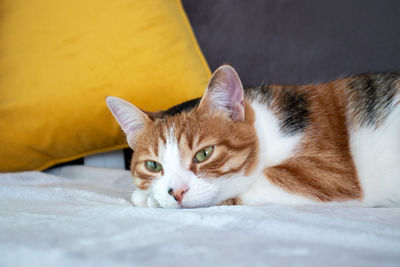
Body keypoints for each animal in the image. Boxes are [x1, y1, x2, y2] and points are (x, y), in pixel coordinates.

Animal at [104, 65, 398, 209]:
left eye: (204, 154)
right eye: (153, 165)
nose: (175, 192)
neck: (267, 131)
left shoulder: (330, 174)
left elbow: (250, 184)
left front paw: (149, 198)